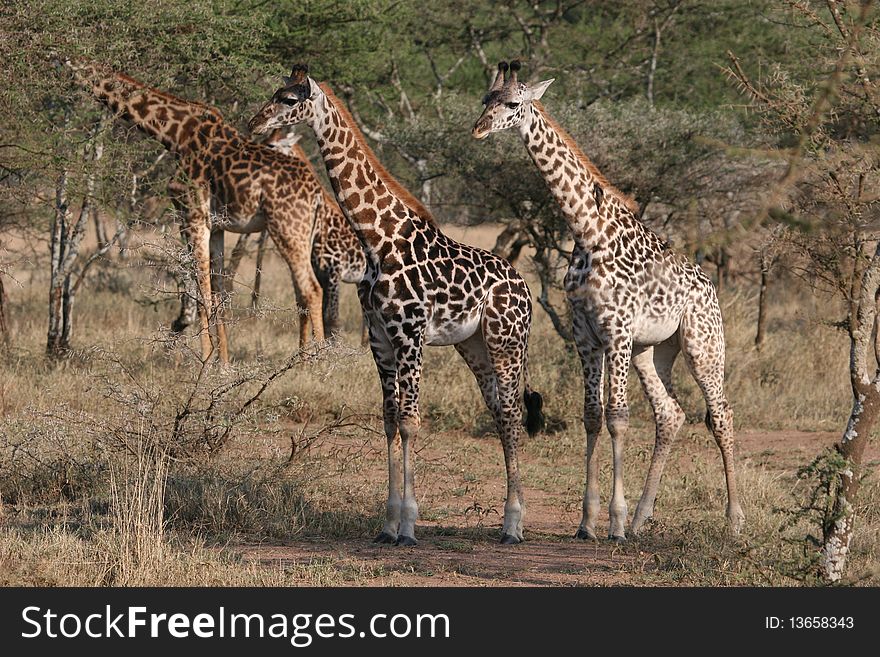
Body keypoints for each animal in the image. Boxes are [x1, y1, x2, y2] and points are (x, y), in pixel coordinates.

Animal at [64, 59, 330, 362]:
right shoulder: (216, 226)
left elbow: (200, 292)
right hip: (302, 234)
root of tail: (317, 195)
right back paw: (303, 357)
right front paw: (223, 362)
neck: (174, 134)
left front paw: (205, 360)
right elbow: (218, 295)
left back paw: (317, 362)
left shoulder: (192, 215)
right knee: (302, 290)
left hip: (286, 229)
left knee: (312, 289)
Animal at [248, 64, 548, 544]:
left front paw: (408, 524)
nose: (256, 123)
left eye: (289, 99)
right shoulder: (380, 338)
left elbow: (410, 421)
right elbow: (389, 419)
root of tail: (523, 286)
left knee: (514, 411)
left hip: (508, 342)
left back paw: (514, 525)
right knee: (500, 413)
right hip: (475, 346)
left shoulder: (410, 333)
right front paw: (387, 524)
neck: (377, 239)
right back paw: (508, 521)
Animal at [470, 60, 744, 540]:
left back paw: (733, 520)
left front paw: (612, 520)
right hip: (652, 350)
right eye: (486, 99)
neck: (587, 231)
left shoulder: (615, 330)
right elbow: (593, 416)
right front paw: (588, 521)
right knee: (670, 414)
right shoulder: (586, 335)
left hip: (702, 344)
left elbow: (618, 416)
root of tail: (711, 287)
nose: (479, 128)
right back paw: (642, 518)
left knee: (721, 413)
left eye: (514, 103)